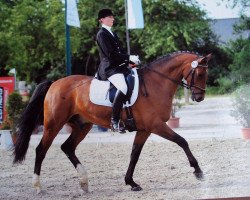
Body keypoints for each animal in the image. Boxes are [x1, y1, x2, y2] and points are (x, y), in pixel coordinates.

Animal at [13, 51, 211, 194]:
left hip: (82, 125)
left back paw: (84, 183)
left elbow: (134, 154)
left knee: (67, 147)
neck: (157, 83)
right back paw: (38, 186)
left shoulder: (145, 129)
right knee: (41, 150)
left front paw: (131, 183)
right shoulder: (156, 126)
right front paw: (198, 171)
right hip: (54, 124)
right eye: (201, 73)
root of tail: (54, 83)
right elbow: (182, 141)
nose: (200, 97)